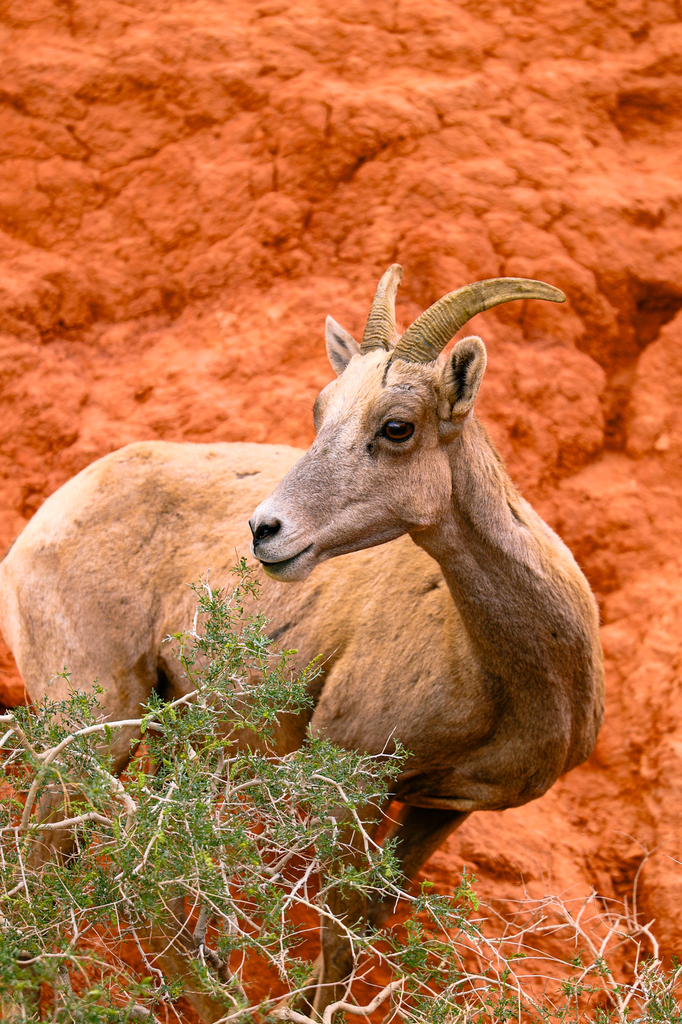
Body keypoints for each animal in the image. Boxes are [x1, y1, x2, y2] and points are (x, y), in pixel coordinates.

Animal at [0, 267, 604, 1019]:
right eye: (321, 412)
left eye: (397, 427)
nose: (265, 530)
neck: (511, 671)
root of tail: (41, 525)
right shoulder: (351, 782)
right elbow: (338, 938)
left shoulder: (440, 807)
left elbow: (364, 925)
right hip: (97, 725)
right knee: (53, 862)